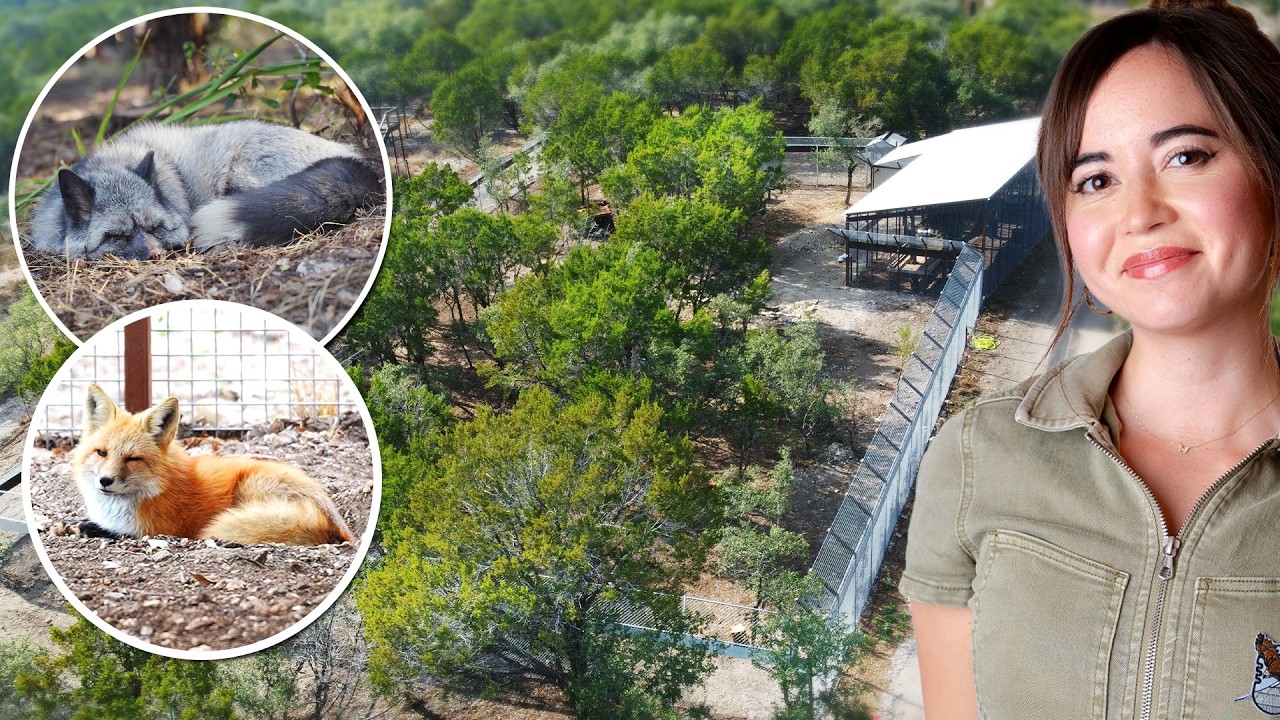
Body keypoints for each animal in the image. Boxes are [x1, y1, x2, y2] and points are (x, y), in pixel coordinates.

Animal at [52, 384, 353, 545]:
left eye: (132, 458)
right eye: (101, 453)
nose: (105, 481)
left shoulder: (159, 529)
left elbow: (119, 532)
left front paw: (87, 528)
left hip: (250, 486)